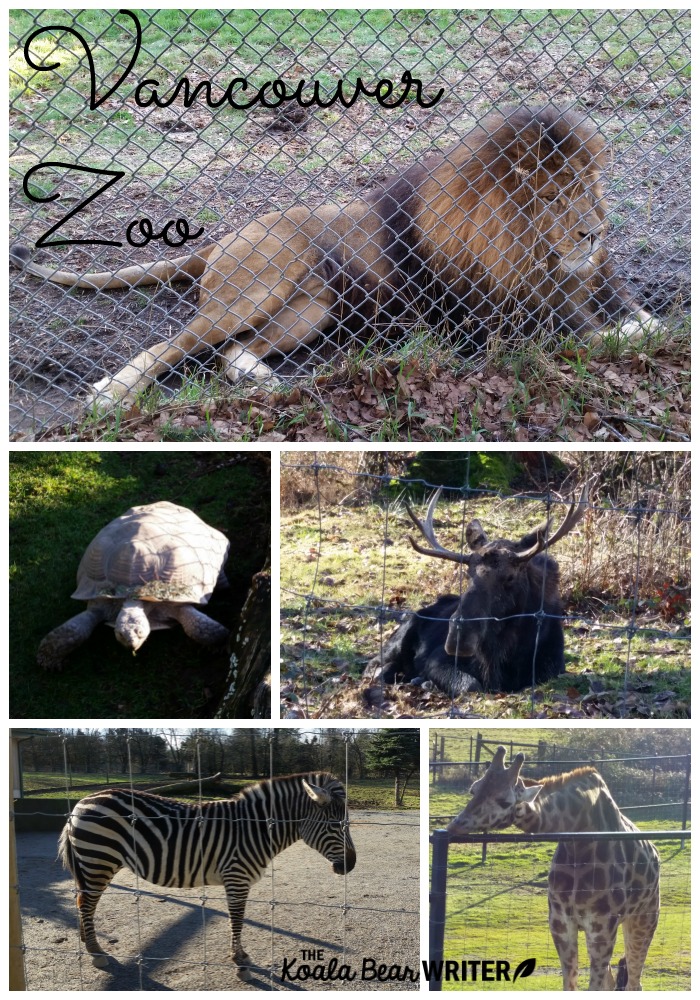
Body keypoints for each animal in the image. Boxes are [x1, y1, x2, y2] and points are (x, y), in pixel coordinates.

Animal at [9, 103, 660, 408]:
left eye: (590, 189)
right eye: (551, 197)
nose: (594, 234)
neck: (525, 249)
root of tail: (222, 239)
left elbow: (635, 314)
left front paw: (648, 323)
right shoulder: (510, 318)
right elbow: (600, 334)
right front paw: (635, 334)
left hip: (311, 311)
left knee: (232, 354)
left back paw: (260, 378)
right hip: (261, 286)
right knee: (175, 345)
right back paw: (110, 393)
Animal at [58, 772, 356, 976]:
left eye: (347, 824)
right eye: (335, 825)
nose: (351, 866)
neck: (255, 830)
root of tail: (82, 802)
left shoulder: (238, 880)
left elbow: (238, 919)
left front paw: (240, 955)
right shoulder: (236, 877)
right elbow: (237, 919)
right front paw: (239, 960)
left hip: (94, 862)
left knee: (83, 902)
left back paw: (88, 942)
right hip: (99, 859)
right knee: (86, 903)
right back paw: (96, 951)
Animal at [364, 486, 588, 692]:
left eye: (510, 577)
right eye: (468, 573)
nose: (459, 637)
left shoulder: (553, 669)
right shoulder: (437, 659)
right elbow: (471, 685)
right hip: (399, 638)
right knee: (374, 665)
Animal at [448, 748, 660, 988]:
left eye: (504, 801)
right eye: (473, 789)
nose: (454, 825)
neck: (579, 838)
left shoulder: (602, 927)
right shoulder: (560, 924)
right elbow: (571, 984)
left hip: (645, 918)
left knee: (634, 980)